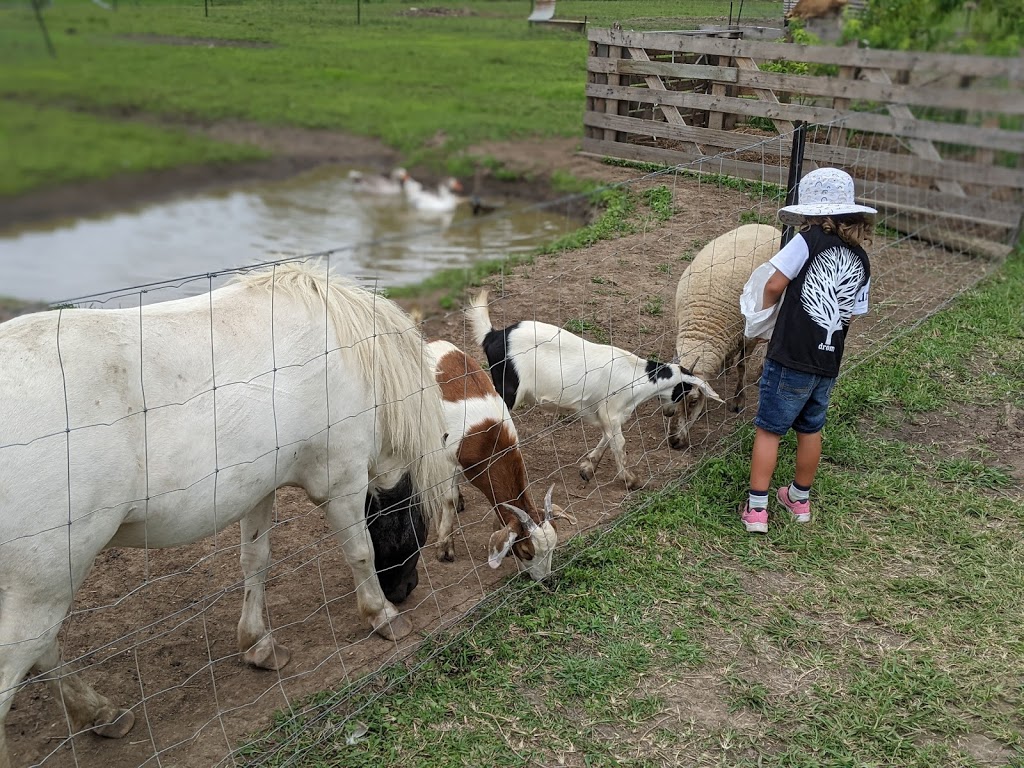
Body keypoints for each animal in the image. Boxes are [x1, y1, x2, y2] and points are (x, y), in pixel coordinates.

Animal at [0, 260, 448, 768]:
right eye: (416, 521)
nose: (406, 590)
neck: (345, 352)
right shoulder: (342, 481)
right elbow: (360, 553)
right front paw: (382, 616)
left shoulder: (258, 489)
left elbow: (256, 562)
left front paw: (258, 645)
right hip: (43, 586)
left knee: (43, 651)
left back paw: (101, 713)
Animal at [425, 339, 577, 581]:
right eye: (526, 551)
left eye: (553, 547)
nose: (544, 580)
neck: (491, 442)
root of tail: (434, 343)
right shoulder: (448, 460)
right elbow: (447, 499)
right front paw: (444, 548)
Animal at [468, 290, 720, 489]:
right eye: (685, 393)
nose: (669, 413)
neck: (636, 375)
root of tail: (493, 335)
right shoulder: (611, 410)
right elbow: (619, 443)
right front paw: (631, 480)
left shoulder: (607, 413)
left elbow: (607, 438)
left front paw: (588, 468)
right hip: (506, 391)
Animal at [667, 222, 778, 448]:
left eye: (693, 401)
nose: (673, 442)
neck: (702, 327)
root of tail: (768, 226)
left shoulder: (748, 336)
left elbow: (742, 367)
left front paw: (738, 401)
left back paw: (760, 372)